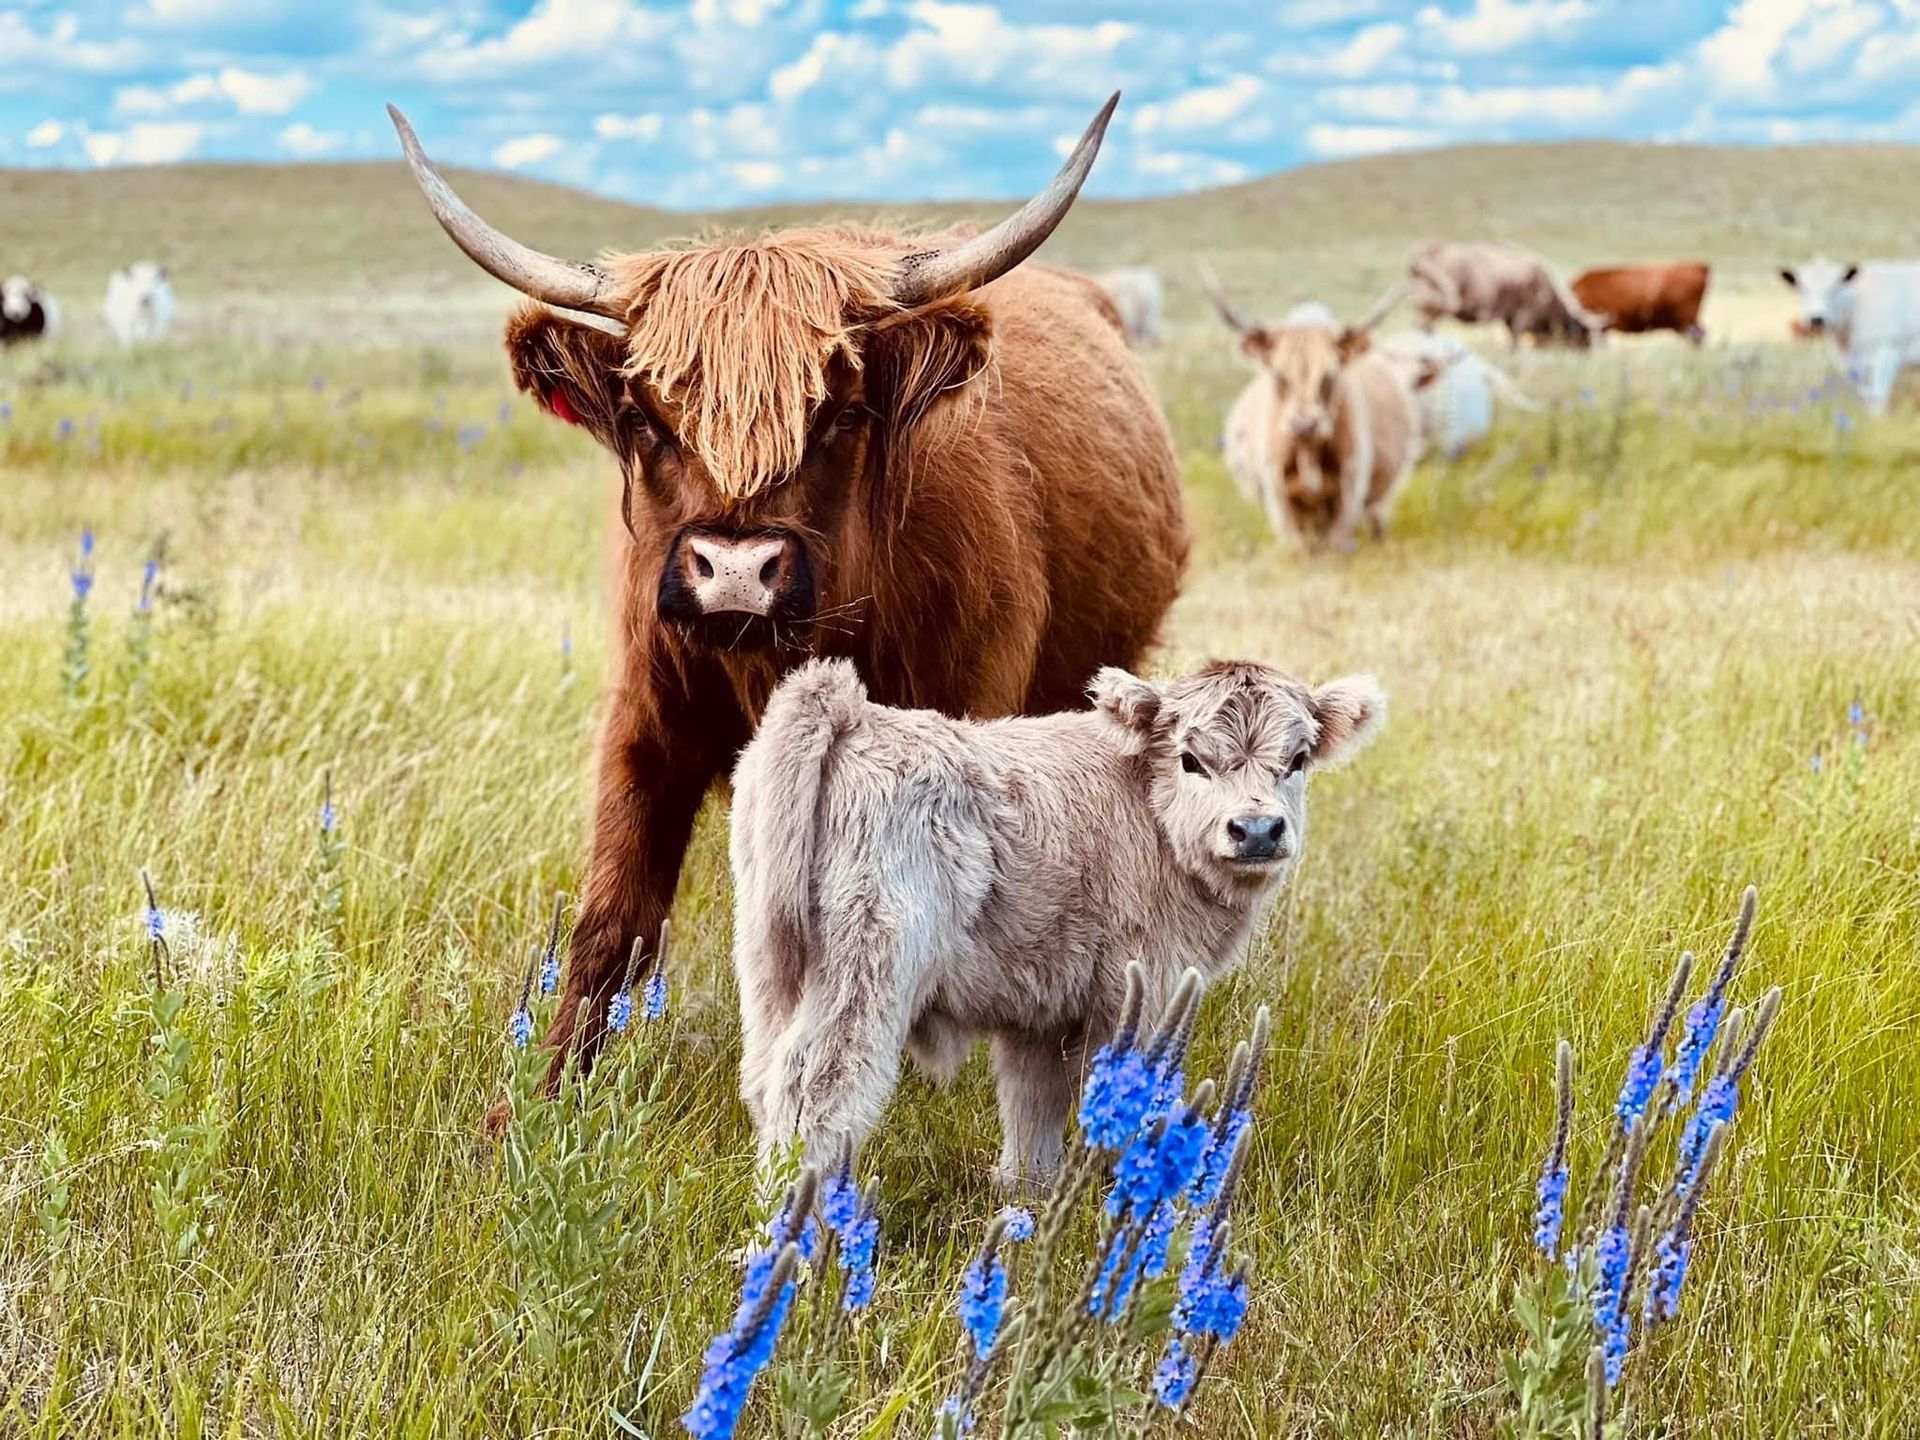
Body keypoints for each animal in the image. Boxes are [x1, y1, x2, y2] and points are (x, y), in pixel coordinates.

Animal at [388, 98, 1189, 1120]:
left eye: (840, 414)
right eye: (647, 418)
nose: (735, 572)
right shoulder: (647, 718)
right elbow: (613, 918)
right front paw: (536, 1104)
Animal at [730, 655, 1384, 1179]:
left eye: (1298, 759)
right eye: (1191, 760)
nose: (1257, 830)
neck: (1149, 814)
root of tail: (857, 715)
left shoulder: (1040, 1007)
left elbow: (1032, 1104)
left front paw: (1029, 1196)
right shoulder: (1139, 993)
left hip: (772, 972)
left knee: (764, 1082)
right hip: (867, 966)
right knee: (817, 1092)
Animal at [1205, 269, 1421, 550]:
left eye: (1329, 375)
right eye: (1280, 375)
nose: (1304, 425)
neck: (1308, 452)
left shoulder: (1350, 487)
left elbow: (1335, 542)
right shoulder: (1278, 492)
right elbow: (1297, 545)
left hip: (1380, 497)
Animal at [1407, 241, 1602, 349]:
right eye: (1586, 334)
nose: (1592, 353)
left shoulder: (1509, 318)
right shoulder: (1522, 315)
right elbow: (1515, 341)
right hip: (1434, 308)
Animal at [1780, 256, 1920, 416]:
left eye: (1835, 288)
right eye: (1803, 289)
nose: (1817, 319)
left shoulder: (1887, 351)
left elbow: (1878, 396)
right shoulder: (1850, 364)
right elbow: (1866, 395)